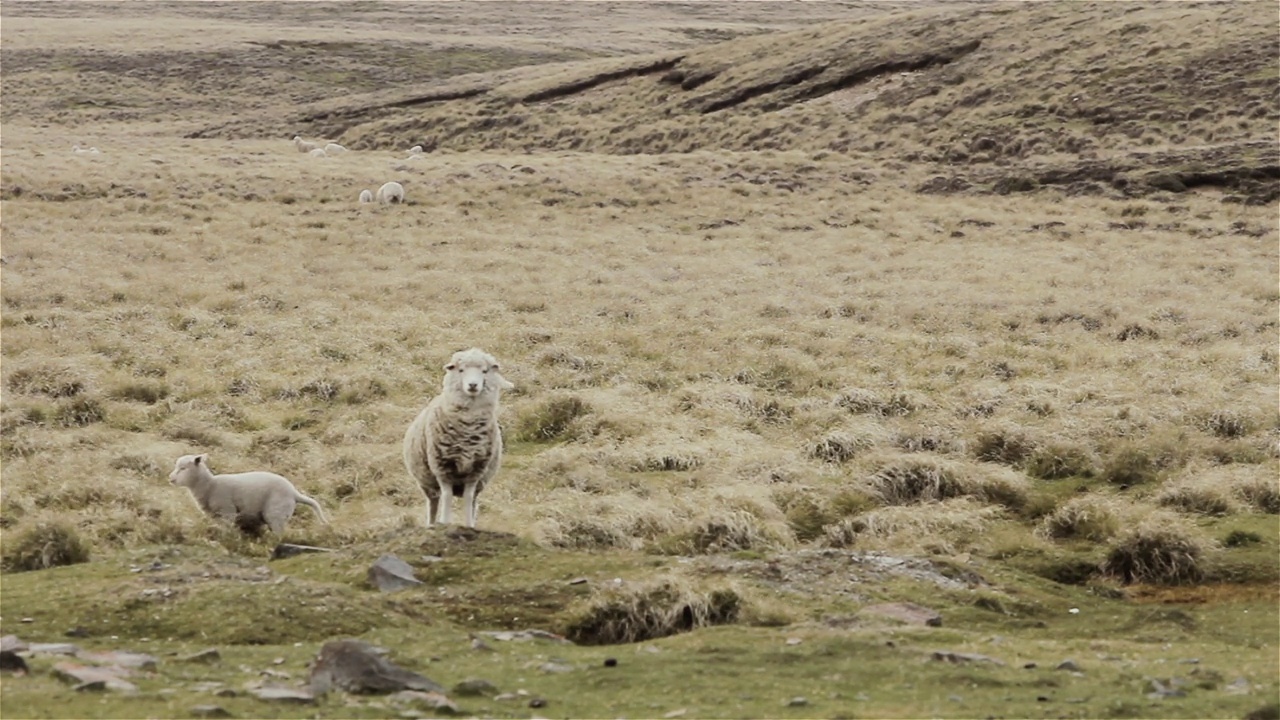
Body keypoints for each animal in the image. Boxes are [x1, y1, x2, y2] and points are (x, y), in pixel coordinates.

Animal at [167, 453, 327, 532]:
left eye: (183, 468)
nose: (171, 478)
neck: (210, 485)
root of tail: (294, 492)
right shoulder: (213, 515)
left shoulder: (227, 511)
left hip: (276, 513)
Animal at [404, 345, 514, 525]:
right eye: (461, 370)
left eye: (484, 371)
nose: (473, 385)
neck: (468, 426)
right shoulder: (443, 467)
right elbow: (447, 497)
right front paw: (445, 522)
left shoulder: (476, 470)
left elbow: (468, 498)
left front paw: (469, 524)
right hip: (427, 482)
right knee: (434, 502)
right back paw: (432, 523)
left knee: (473, 502)